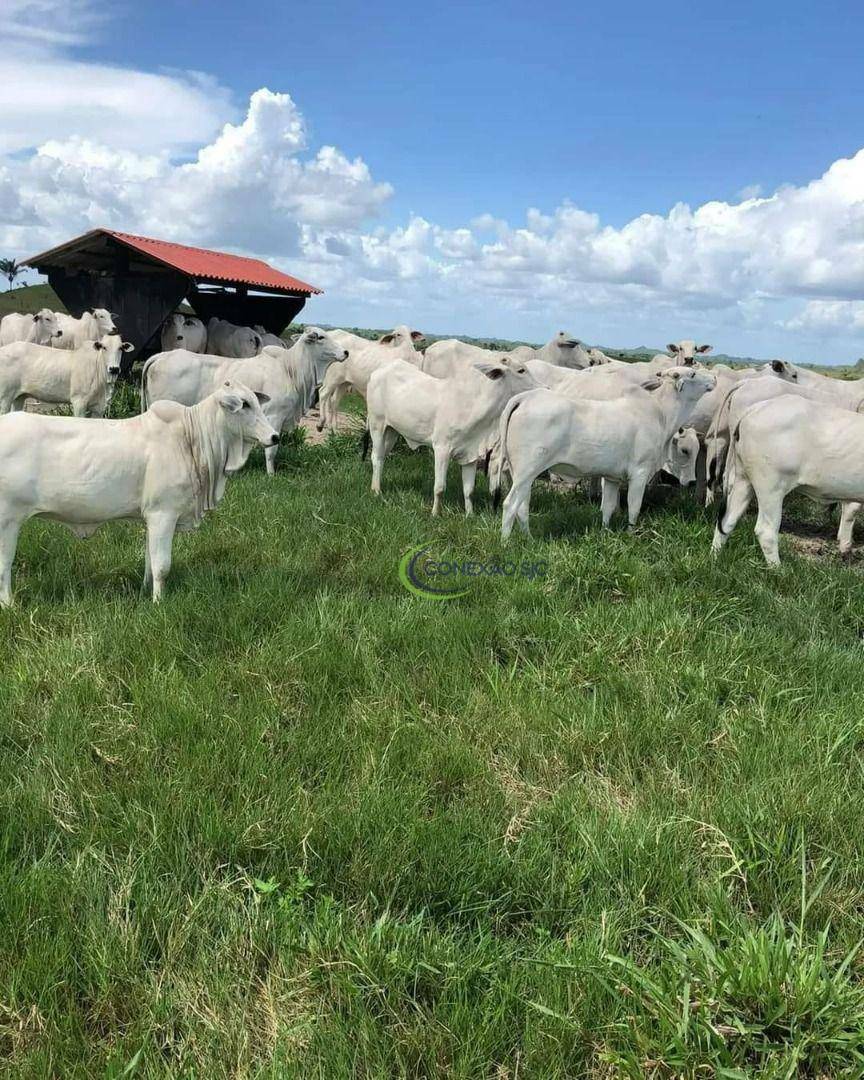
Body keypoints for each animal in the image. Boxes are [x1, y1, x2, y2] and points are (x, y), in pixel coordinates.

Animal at [0, 380, 278, 604]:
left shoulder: (151, 518)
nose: (275, 436)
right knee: (4, 565)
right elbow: (162, 565)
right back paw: (9, 605)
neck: (192, 439)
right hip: (8, 520)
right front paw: (158, 603)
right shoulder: (163, 514)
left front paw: (145, 591)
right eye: (244, 405)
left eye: (256, 401)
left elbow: (149, 561)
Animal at [140, 328, 343, 473]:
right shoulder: (275, 416)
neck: (290, 369)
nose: (346, 352)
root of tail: (161, 355)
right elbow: (271, 450)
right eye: (321, 337)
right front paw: (271, 475)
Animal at [365, 354, 540, 514]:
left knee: (382, 457)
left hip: (391, 431)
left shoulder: (470, 454)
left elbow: (469, 490)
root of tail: (380, 371)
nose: (543, 387)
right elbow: (439, 487)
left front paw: (469, 514)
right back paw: (376, 491)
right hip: (377, 425)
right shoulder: (441, 448)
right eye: (521, 370)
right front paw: (435, 513)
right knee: (376, 457)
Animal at [492, 367, 717, 540]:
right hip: (526, 471)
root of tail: (525, 397)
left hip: (524, 474)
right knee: (510, 504)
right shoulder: (640, 473)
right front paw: (631, 534)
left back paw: (529, 538)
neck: (661, 414)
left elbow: (607, 508)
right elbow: (634, 507)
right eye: (693, 373)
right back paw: (505, 543)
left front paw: (606, 532)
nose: (714, 378)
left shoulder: (611, 478)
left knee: (522, 506)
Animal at [717, 397, 864, 565]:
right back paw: (778, 569)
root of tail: (756, 408)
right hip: (771, 487)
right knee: (766, 531)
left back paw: (715, 557)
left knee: (727, 521)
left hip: (743, 480)